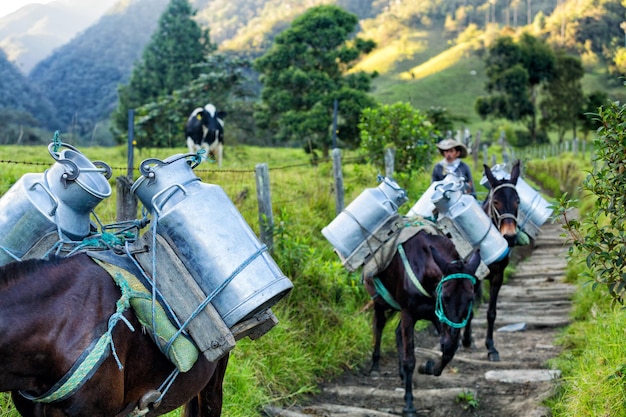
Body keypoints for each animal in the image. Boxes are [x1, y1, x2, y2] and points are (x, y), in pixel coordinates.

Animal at [360, 231, 478, 416]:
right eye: (445, 297)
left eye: (470, 299)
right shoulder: (409, 312)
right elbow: (410, 359)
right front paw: (409, 404)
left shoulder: (436, 314)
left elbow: (448, 351)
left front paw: (427, 367)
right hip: (378, 298)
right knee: (379, 325)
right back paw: (375, 366)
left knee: (397, 333)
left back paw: (402, 375)